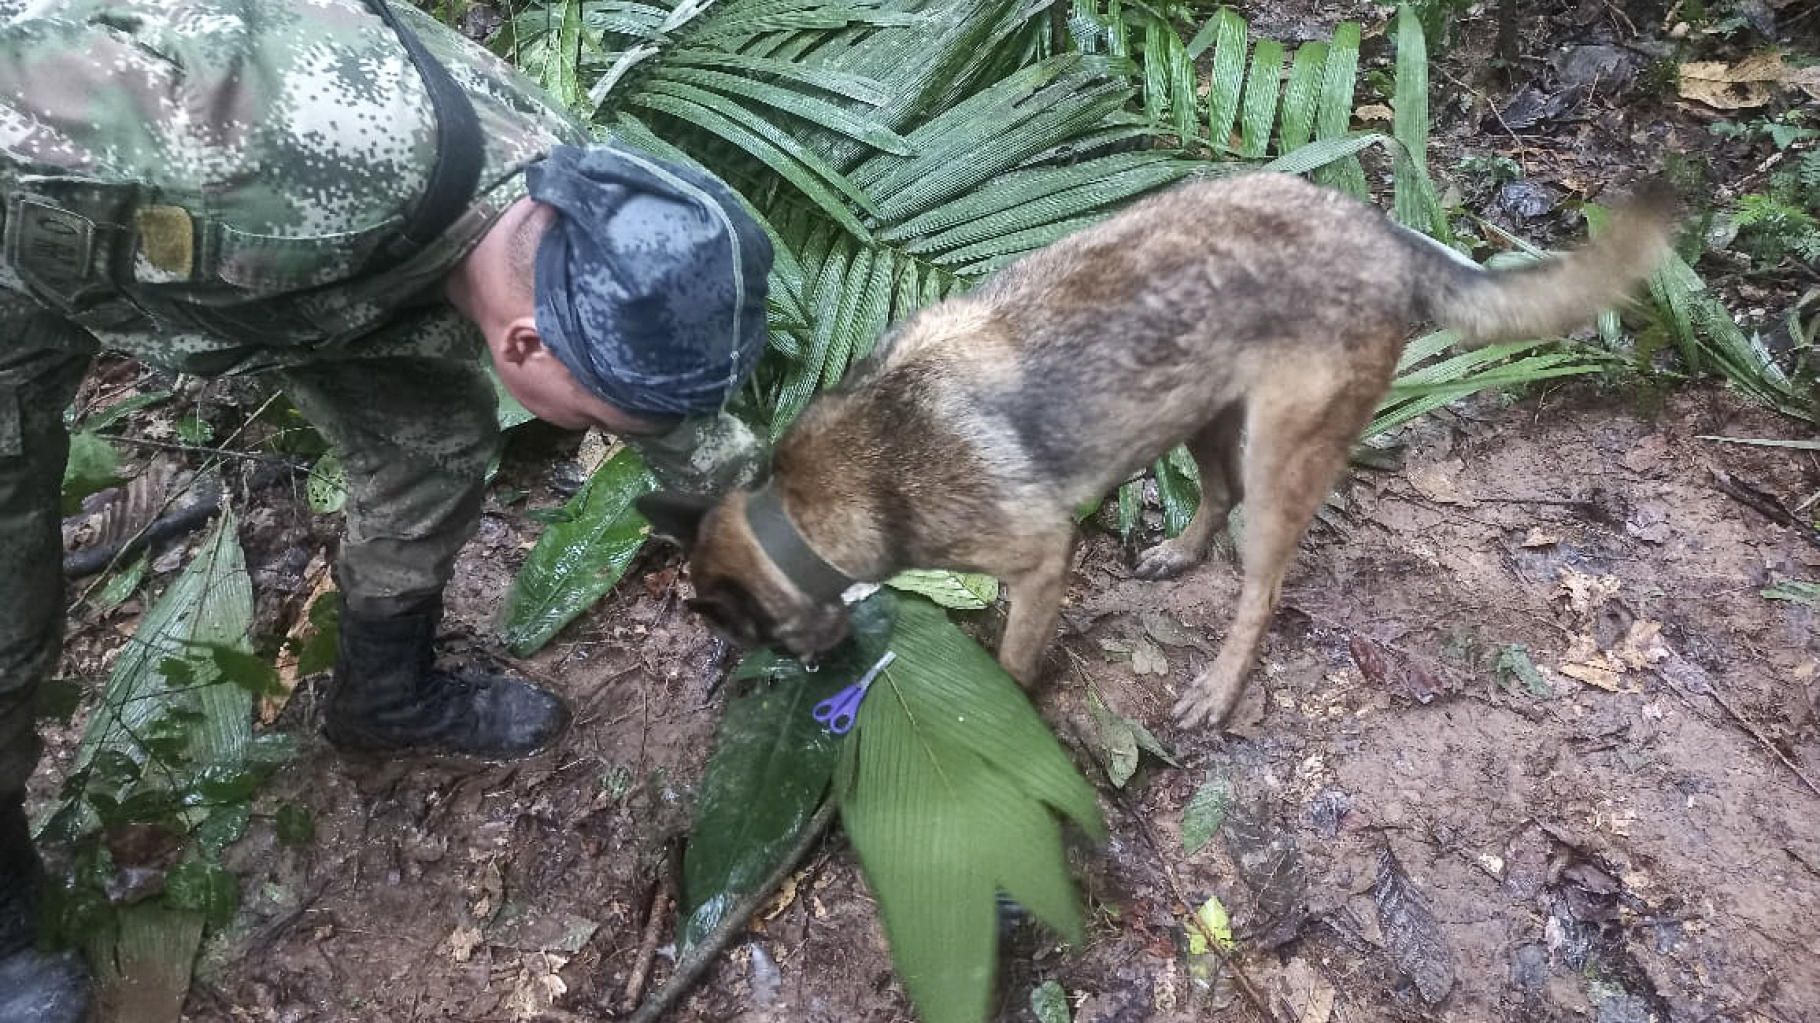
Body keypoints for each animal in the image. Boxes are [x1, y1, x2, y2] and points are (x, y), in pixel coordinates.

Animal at [640, 169, 1674, 724]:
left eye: (744, 634)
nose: (813, 678)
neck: (804, 507)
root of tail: (1384, 233)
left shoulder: (1039, 558)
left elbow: (1013, 659)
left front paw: (1007, 708)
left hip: (1279, 455)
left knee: (1261, 585)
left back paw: (1218, 683)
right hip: (1202, 415)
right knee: (1214, 497)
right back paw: (1179, 552)